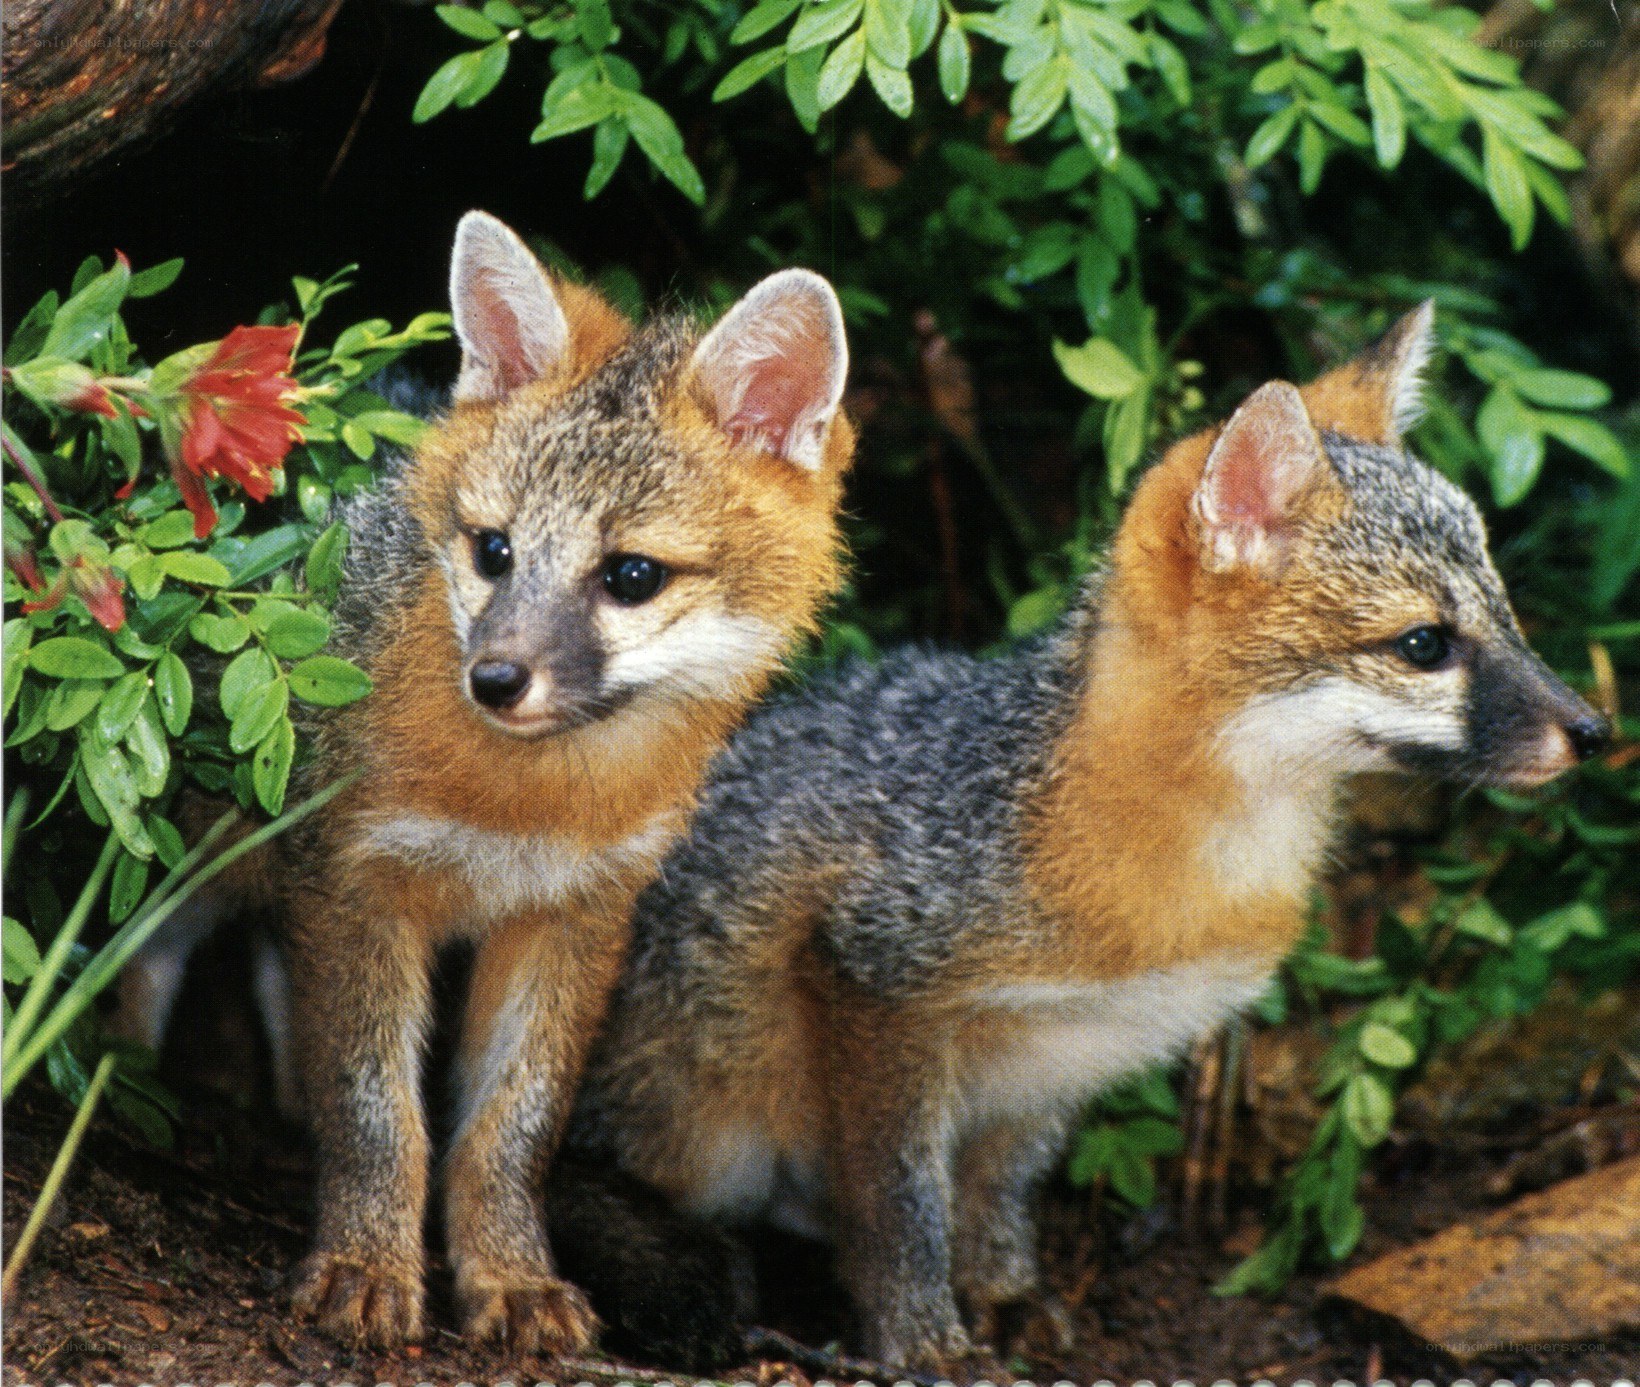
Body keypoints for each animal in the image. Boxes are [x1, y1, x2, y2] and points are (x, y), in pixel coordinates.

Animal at [112, 210, 855, 1351]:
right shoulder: (364, 885)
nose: (495, 679)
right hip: (194, 850)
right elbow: (378, 1110)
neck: (527, 803)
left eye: (629, 575)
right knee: (141, 955)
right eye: (494, 550)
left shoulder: (570, 917)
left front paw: (511, 1276)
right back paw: (116, 1083)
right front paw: (367, 1265)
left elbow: (509, 1130)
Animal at [557, 304, 1611, 1378]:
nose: (1595, 730)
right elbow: (899, 1201)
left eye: (1506, 615)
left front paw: (1006, 1292)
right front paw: (923, 1337)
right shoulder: (872, 981)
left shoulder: (1060, 1052)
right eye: (1425, 645)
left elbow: (998, 1189)